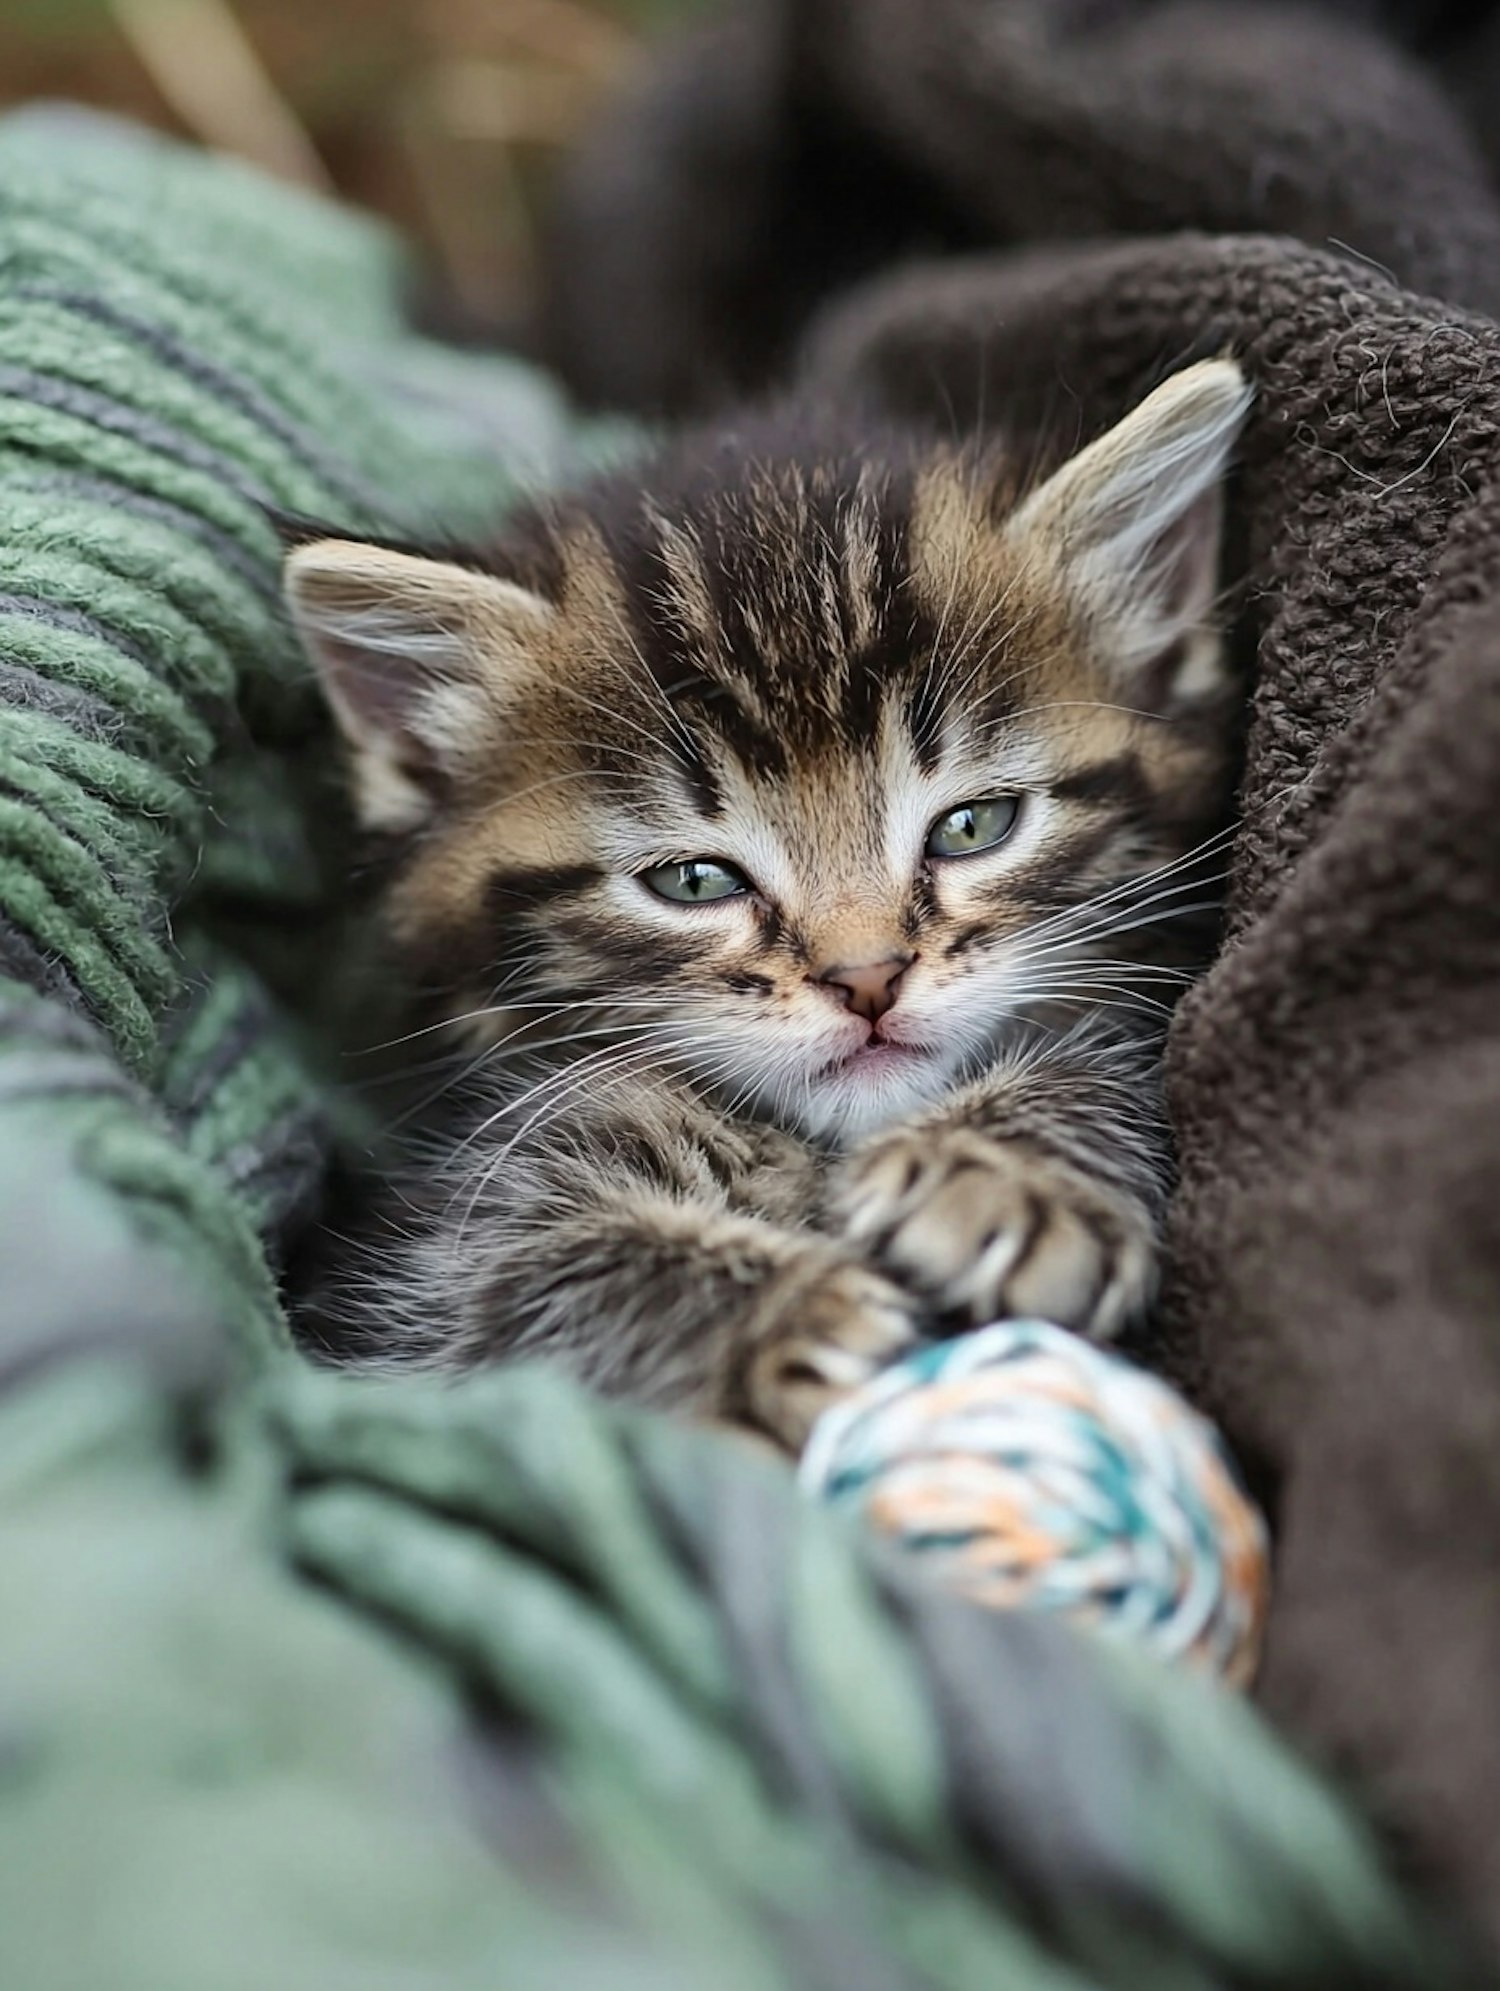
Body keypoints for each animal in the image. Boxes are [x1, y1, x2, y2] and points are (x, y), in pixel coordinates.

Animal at [286, 354, 1243, 1449]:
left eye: (973, 826)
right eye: (694, 880)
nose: (867, 979)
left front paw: (1007, 1168)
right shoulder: (413, 1284)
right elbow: (508, 1288)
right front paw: (784, 1309)